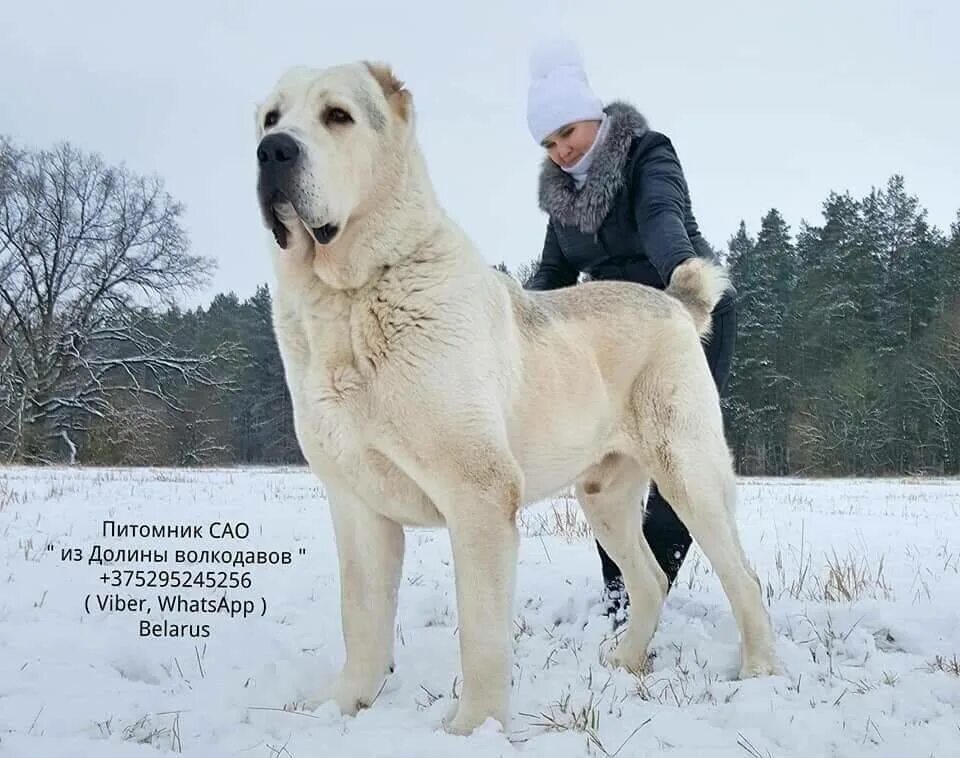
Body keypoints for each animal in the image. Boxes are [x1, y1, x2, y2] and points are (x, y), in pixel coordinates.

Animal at [251, 62, 776, 740]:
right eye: (270, 118)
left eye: (337, 116)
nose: (273, 151)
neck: (348, 296)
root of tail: (672, 301)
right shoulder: (357, 506)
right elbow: (360, 620)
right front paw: (340, 709)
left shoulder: (479, 496)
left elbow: (480, 634)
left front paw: (472, 730)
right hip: (603, 496)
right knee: (650, 578)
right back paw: (626, 662)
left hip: (689, 474)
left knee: (742, 576)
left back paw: (761, 670)